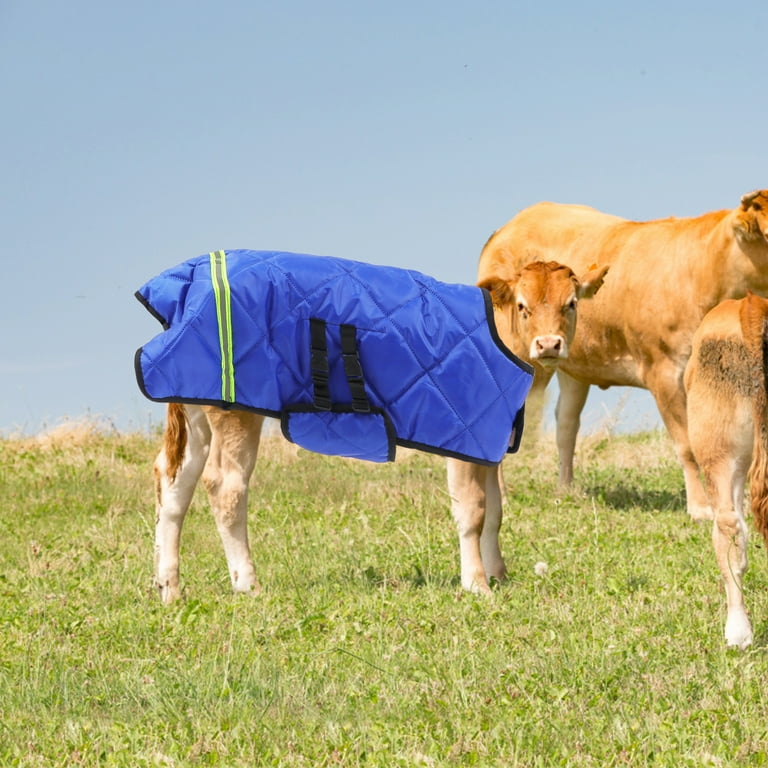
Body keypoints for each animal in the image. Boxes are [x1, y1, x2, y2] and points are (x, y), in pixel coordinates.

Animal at [152, 260, 608, 602]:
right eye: (523, 306)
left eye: (570, 304)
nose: (548, 345)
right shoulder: (465, 433)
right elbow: (474, 511)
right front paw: (476, 584)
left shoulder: (489, 440)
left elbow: (495, 510)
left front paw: (498, 573)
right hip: (235, 410)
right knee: (225, 486)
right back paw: (248, 583)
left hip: (194, 404)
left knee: (174, 482)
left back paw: (169, 587)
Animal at [475, 190, 768, 521]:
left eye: (572, 302)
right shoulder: (664, 371)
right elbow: (687, 444)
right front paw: (701, 506)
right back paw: (502, 495)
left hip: (571, 366)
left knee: (566, 425)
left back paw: (566, 489)